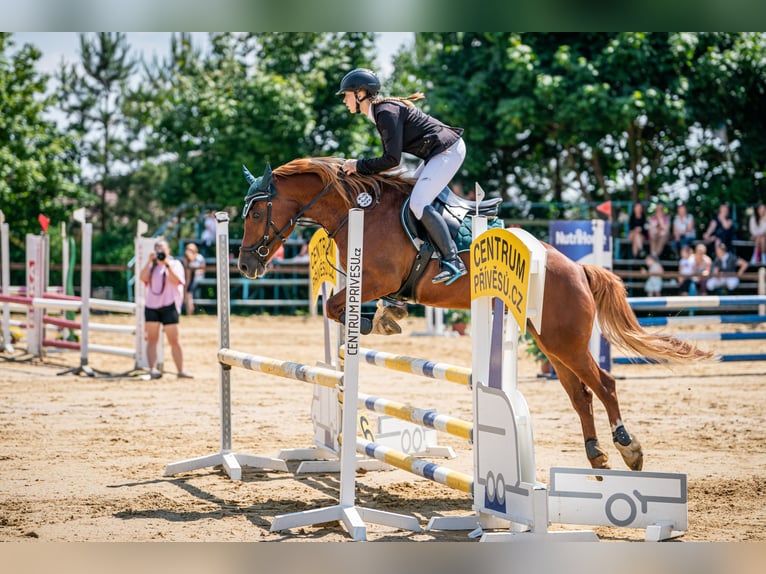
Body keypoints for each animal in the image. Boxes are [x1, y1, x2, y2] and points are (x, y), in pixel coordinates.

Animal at [237, 157, 713, 471]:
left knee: (605, 384)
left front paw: (377, 321)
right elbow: (343, 308)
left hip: (566, 341)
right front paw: (389, 316)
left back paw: (629, 449)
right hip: (551, 342)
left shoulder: (375, 280)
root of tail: (577, 267)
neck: (361, 211)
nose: (245, 264)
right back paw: (595, 454)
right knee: (580, 394)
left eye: (258, 211)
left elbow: (337, 307)